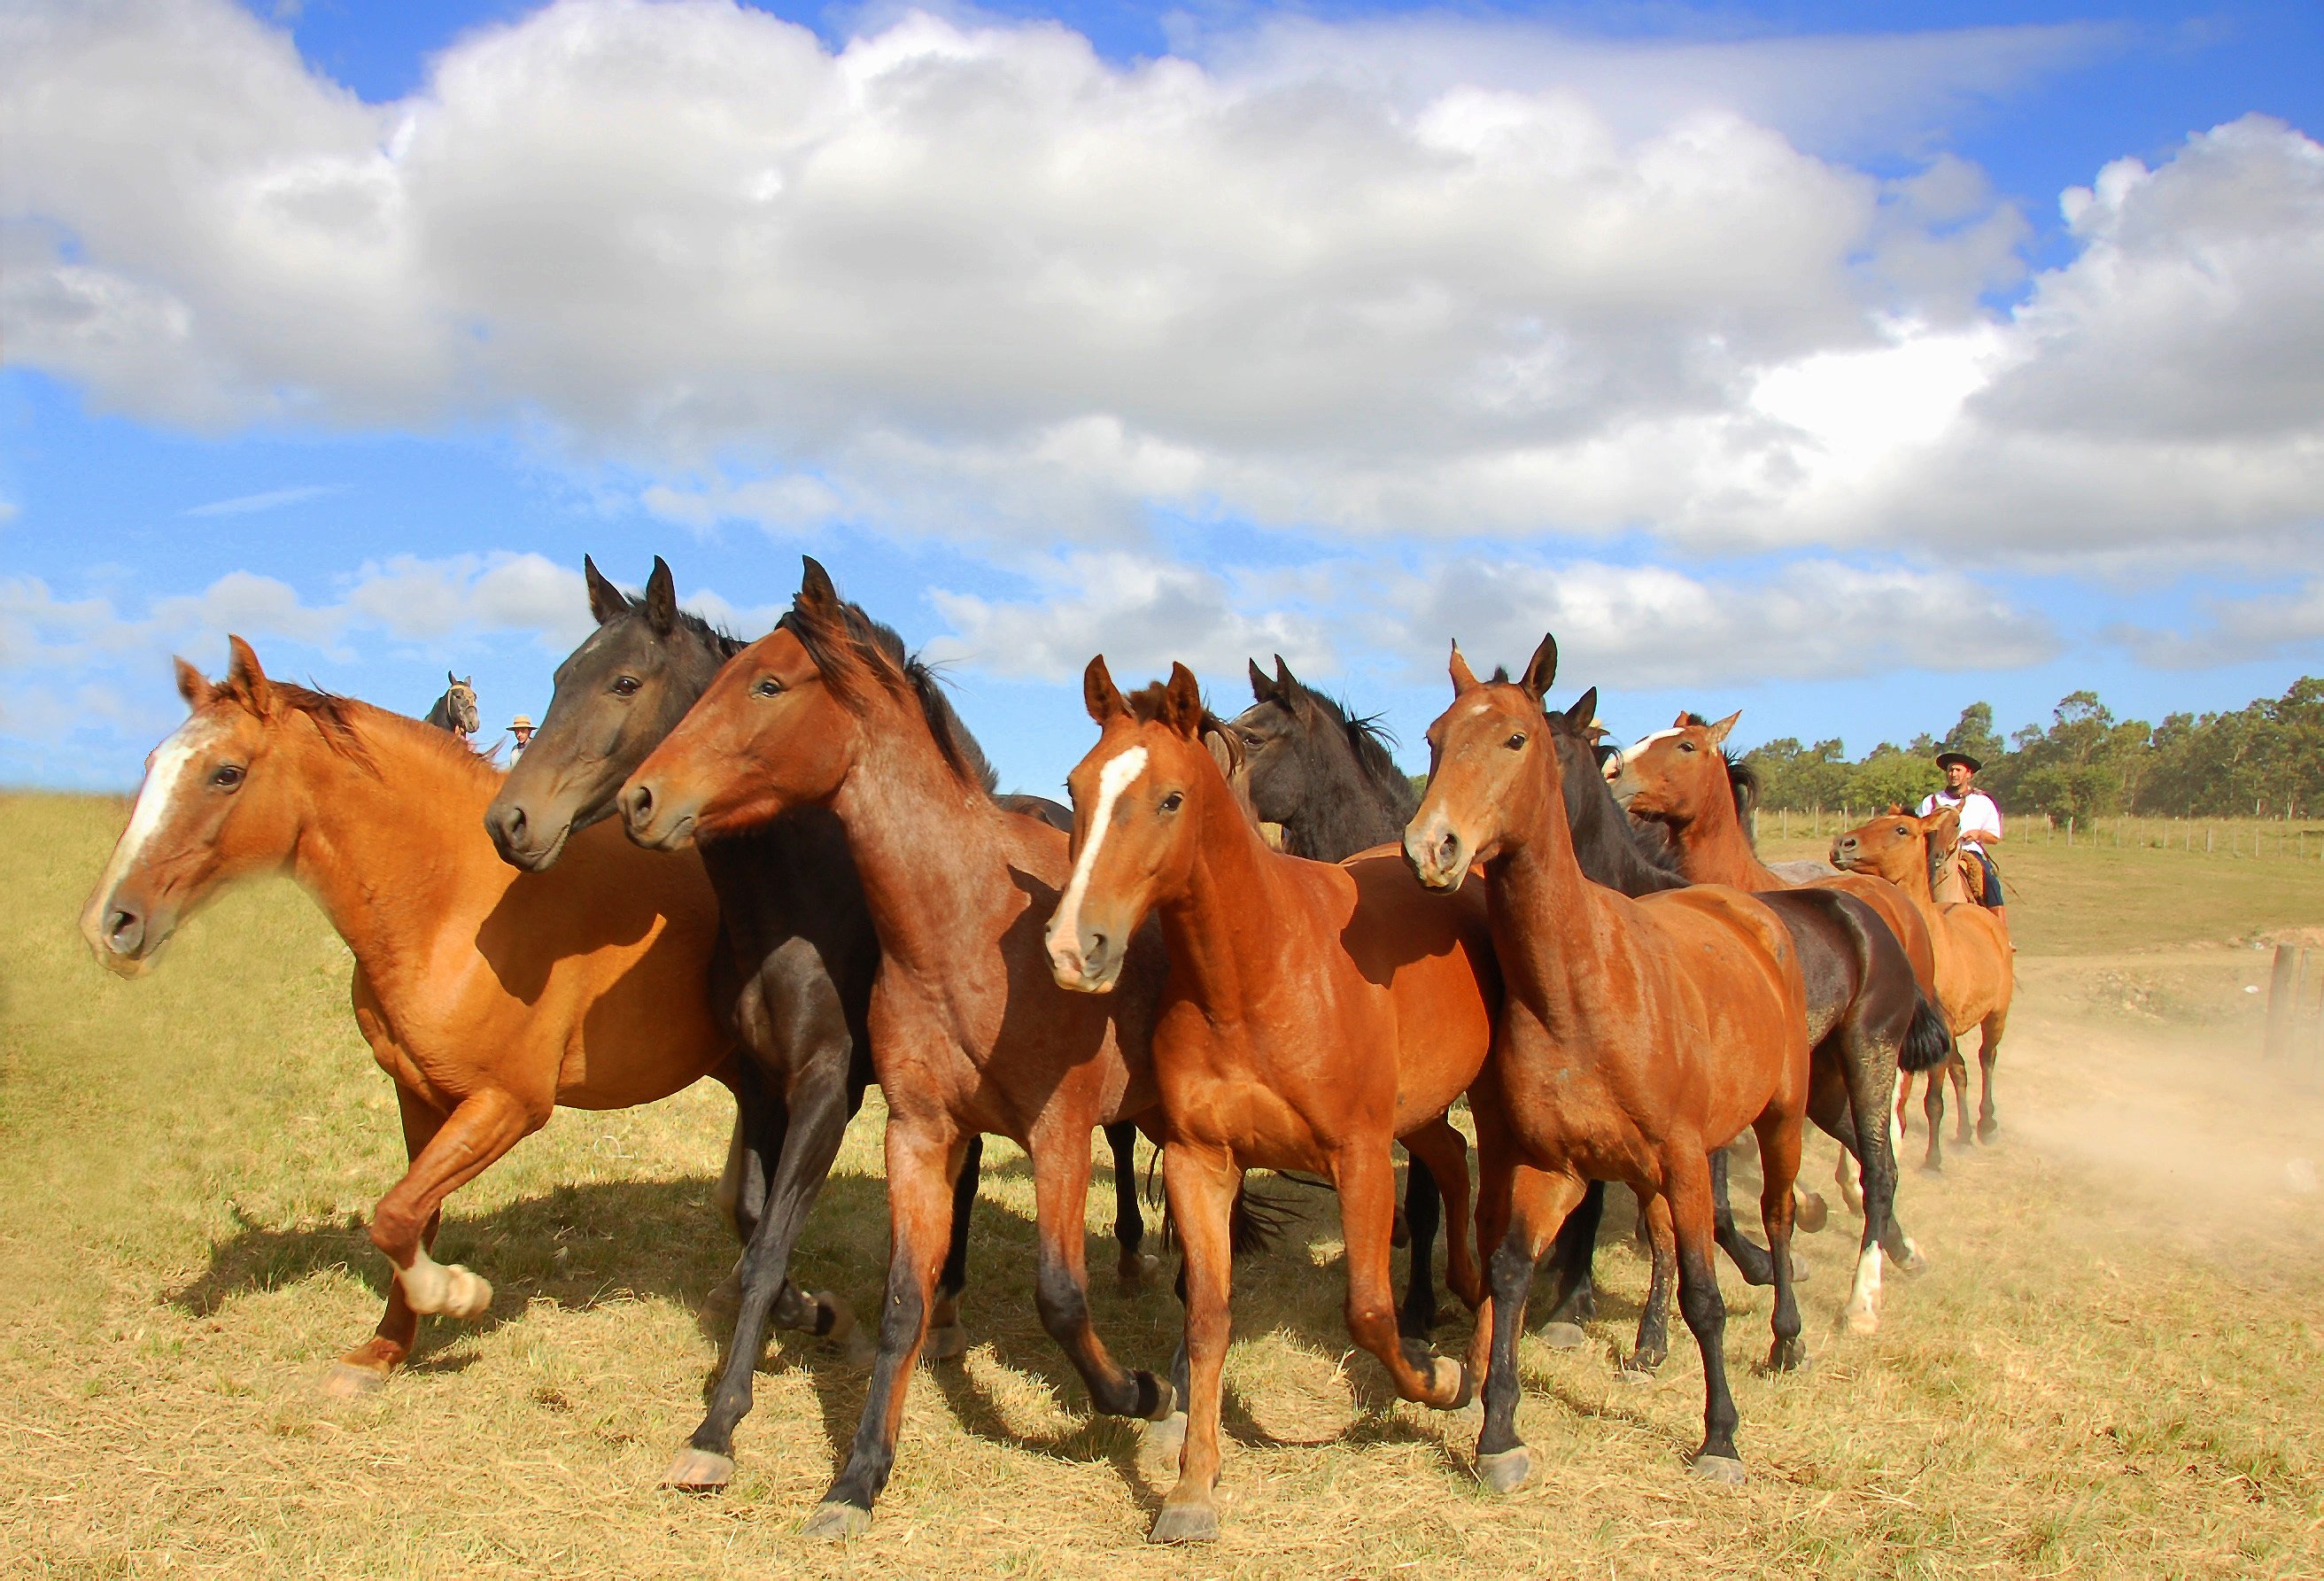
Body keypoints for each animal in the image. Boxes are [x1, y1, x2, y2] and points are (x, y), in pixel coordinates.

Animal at [79, 637, 734, 1395]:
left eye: (226, 773)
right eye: (152, 762)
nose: (111, 922)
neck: (459, 905)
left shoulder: (507, 1104)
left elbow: (393, 1215)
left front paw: (454, 1292)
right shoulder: (420, 1095)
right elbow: (414, 1215)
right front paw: (383, 1351)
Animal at [483, 558, 1152, 1497]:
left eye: (625, 682)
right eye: (556, 679)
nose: (510, 821)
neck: (795, 904)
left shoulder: (829, 1088)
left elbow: (767, 1241)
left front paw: (720, 1422)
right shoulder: (765, 1086)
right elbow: (750, 1213)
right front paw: (812, 1312)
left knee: (1116, 1144)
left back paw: (1124, 1262)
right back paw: (947, 1305)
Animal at [1041, 655, 1487, 1544]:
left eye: (1173, 797)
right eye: (1076, 786)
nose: (1077, 946)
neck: (1261, 973)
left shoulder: (1359, 1157)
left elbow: (1369, 1312)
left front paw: (1439, 1379)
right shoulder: (1201, 1161)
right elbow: (1207, 1318)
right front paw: (1191, 1488)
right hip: (1422, 1113)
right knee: (1455, 1165)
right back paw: (1464, 1286)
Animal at [1394, 637, 1812, 1488]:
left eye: (1516, 739)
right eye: (1434, 737)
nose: (1432, 847)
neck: (1583, 986)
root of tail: (1745, 910)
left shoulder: (1683, 1156)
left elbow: (1706, 1296)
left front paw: (1721, 1438)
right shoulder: (1552, 1162)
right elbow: (1511, 1270)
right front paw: (1498, 1429)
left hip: (1777, 1119)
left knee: (1778, 1216)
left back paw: (1786, 1335)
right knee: (1661, 1232)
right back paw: (1650, 1343)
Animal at [1831, 809, 2017, 1153]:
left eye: (1901, 829)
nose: (1842, 844)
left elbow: (1932, 1100)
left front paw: (1932, 1158)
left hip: (1996, 1016)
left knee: (1987, 1059)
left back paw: (1986, 1124)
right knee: (1961, 1071)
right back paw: (1964, 1133)